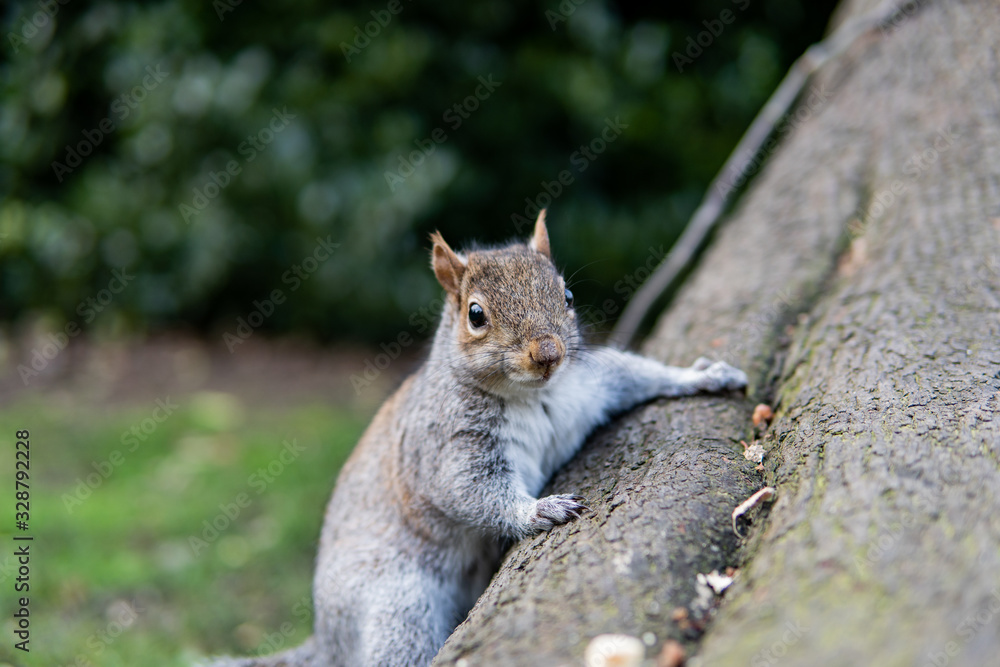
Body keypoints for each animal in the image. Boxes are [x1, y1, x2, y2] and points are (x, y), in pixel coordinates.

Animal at [206, 211, 747, 667]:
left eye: (568, 297)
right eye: (476, 315)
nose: (548, 353)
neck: (533, 397)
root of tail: (327, 640)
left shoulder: (591, 384)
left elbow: (637, 375)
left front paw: (702, 376)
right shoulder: (449, 445)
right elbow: (469, 490)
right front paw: (540, 509)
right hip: (397, 605)